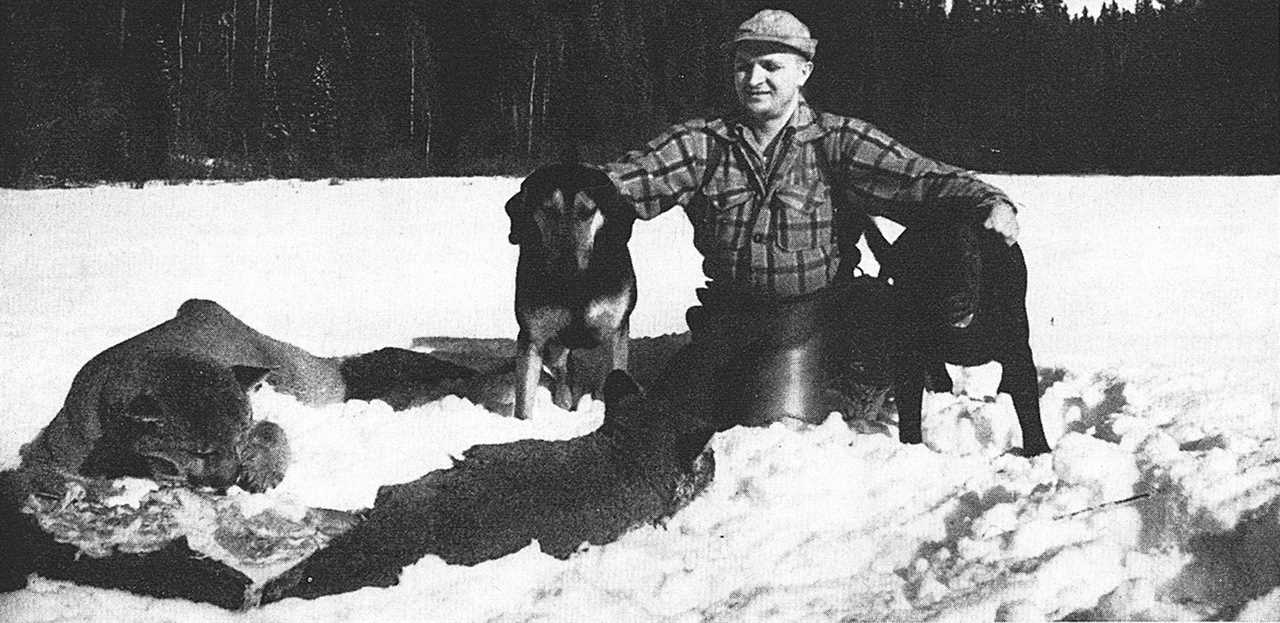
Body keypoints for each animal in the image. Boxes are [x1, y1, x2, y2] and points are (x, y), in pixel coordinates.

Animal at [504, 165, 634, 419]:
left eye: (587, 211)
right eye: (548, 209)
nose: (567, 265)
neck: (575, 287)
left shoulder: (615, 329)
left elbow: (614, 372)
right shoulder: (532, 335)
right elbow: (524, 399)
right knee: (561, 368)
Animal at [870, 221, 1049, 455]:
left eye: (970, 255)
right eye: (926, 261)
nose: (958, 301)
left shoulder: (1018, 352)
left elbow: (1029, 408)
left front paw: (1039, 450)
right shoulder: (909, 356)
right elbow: (909, 409)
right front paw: (912, 448)